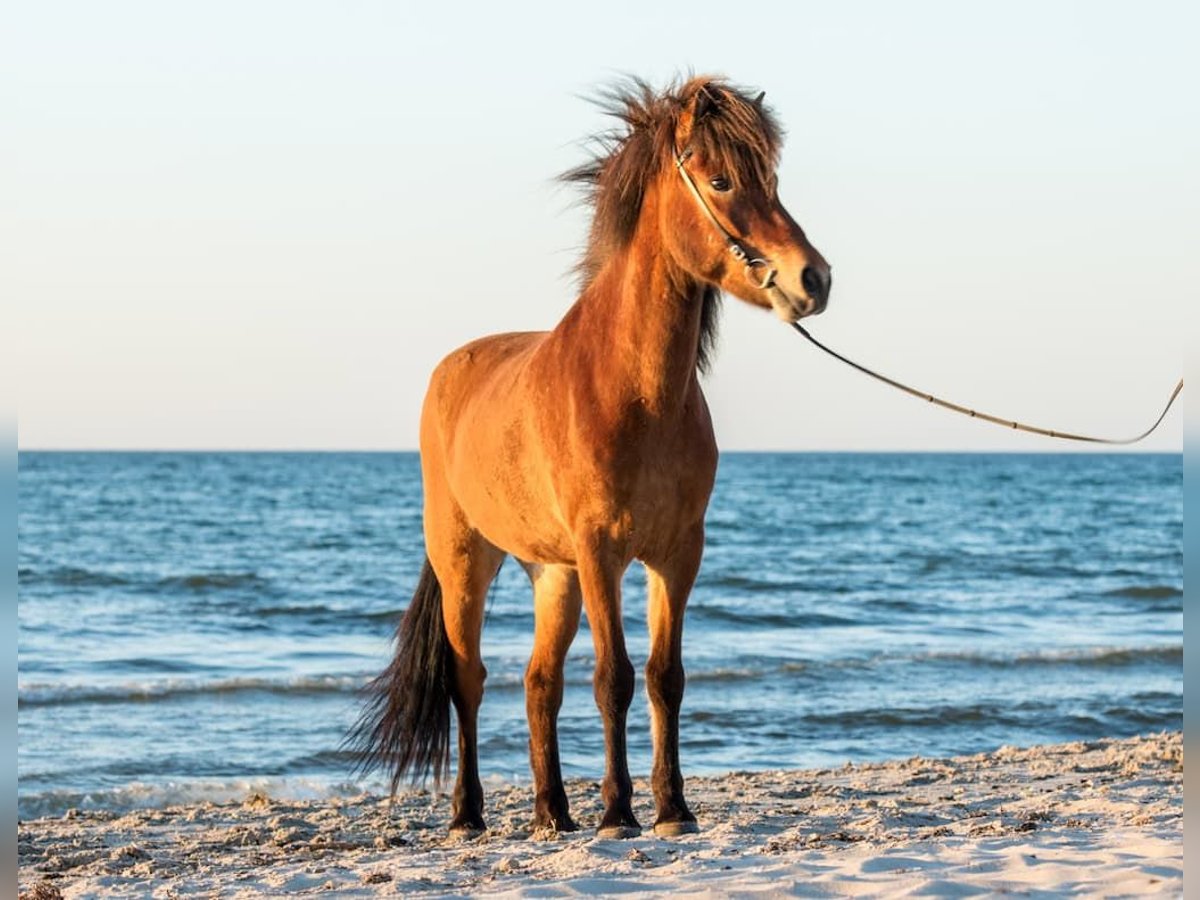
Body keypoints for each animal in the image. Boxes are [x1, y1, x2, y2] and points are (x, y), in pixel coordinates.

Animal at [350, 75, 830, 840]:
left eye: (773, 181)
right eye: (721, 181)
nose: (813, 280)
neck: (630, 387)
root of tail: (450, 371)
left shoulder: (676, 553)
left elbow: (666, 677)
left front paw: (672, 809)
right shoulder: (602, 549)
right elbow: (615, 678)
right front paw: (618, 812)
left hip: (553, 574)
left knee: (537, 682)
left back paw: (552, 813)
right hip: (467, 561)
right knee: (469, 680)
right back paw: (469, 814)